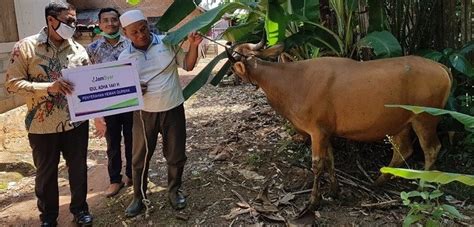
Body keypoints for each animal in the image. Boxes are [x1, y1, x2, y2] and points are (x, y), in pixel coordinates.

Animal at [228, 43, 454, 210]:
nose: (230, 77)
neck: (291, 81)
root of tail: (442, 67)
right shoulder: (326, 131)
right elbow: (330, 159)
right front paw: (334, 190)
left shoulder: (316, 131)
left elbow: (317, 164)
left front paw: (314, 201)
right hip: (401, 122)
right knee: (404, 150)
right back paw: (379, 181)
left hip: (424, 118)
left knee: (431, 149)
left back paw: (423, 187)